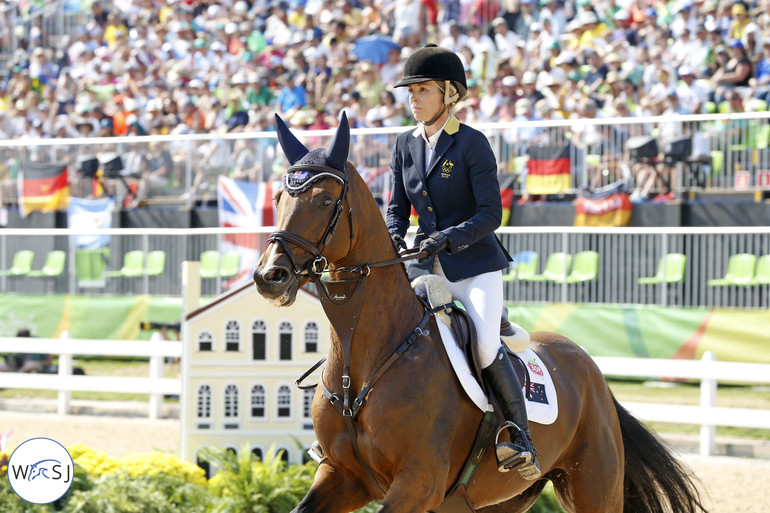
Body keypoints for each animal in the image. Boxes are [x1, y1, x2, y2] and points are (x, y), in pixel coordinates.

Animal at [252, 113, 704, 512]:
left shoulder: (419, 484)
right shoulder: (342, 477)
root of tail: (593, 371)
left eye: (326, 200)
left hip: (594, 486)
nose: (269, 276)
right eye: (277, 198)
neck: (363, 360)